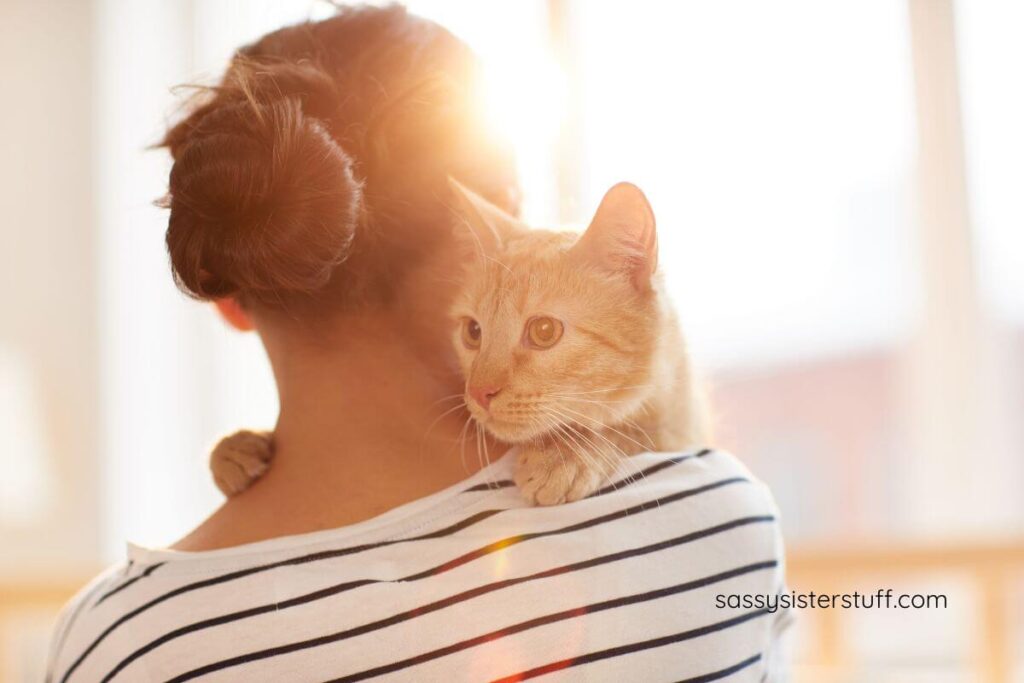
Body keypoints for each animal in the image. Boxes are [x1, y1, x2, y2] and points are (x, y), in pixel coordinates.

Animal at [206, 179, 704, 505]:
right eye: (473, 332)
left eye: (544, 332)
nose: (479, 393)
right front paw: (239, 446)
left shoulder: (679, 429)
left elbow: (631, 430)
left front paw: (569, 453)